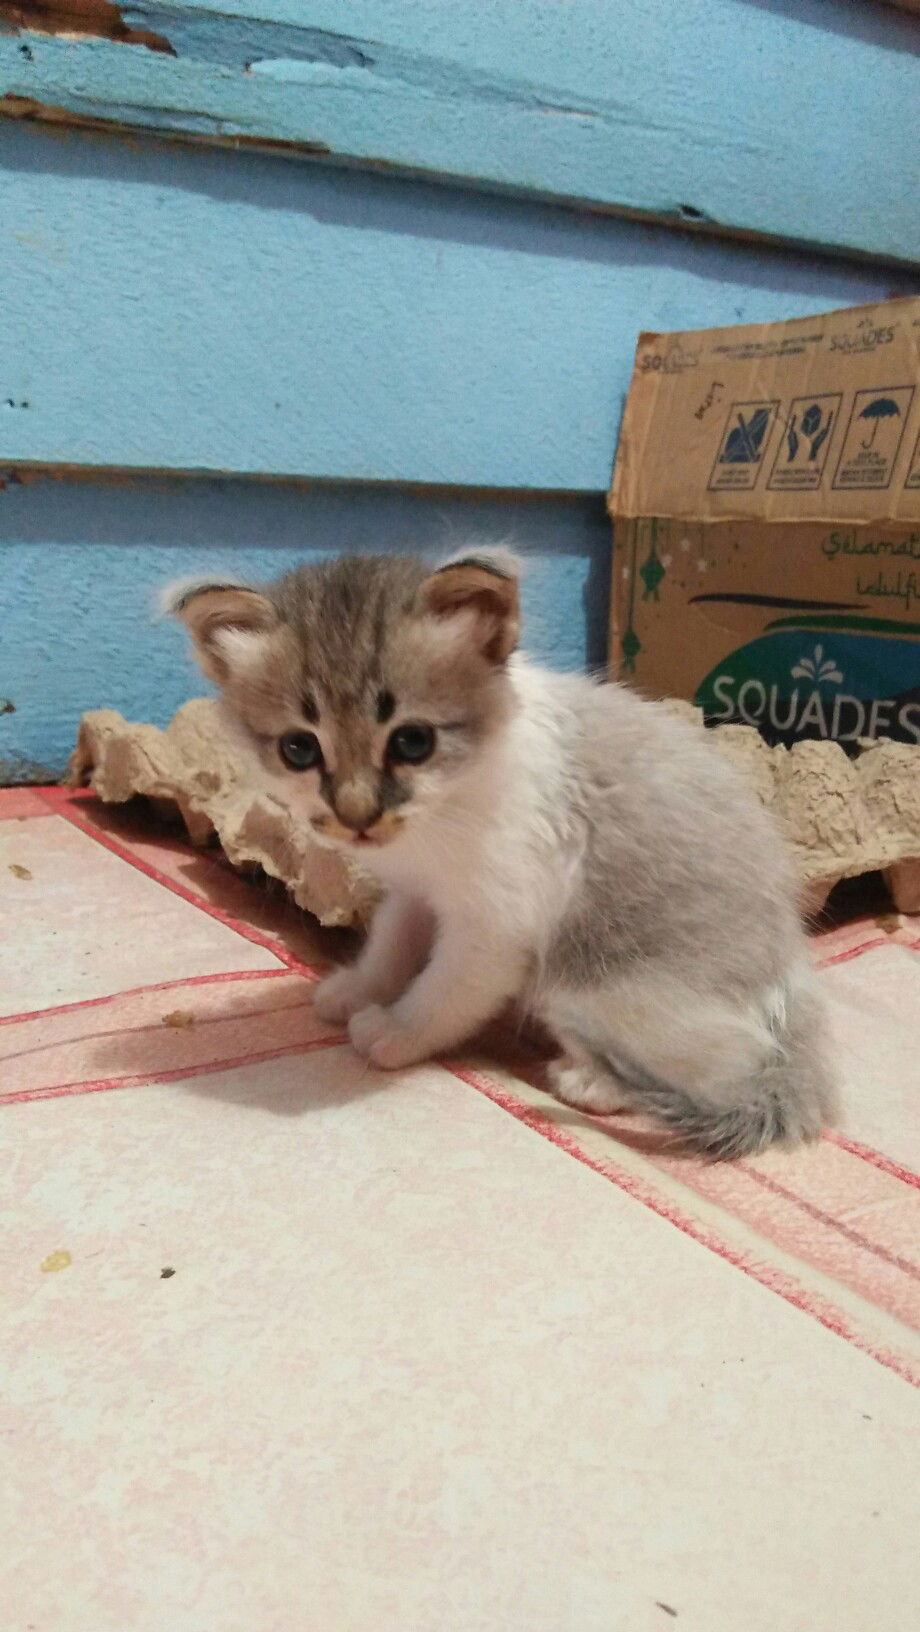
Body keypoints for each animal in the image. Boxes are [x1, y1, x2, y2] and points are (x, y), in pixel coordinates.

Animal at [168, 548, 836, 1158]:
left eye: (412, 741)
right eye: (299, 749)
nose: (357, 817)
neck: (444, 813)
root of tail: (791, 980)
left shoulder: (495, 928)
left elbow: (444, 990)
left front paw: (396, 1031)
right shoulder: (417, 892)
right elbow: (391, 947)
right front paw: (357, 990)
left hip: (592, 988)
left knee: (727, 1067)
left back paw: (593, 1081)